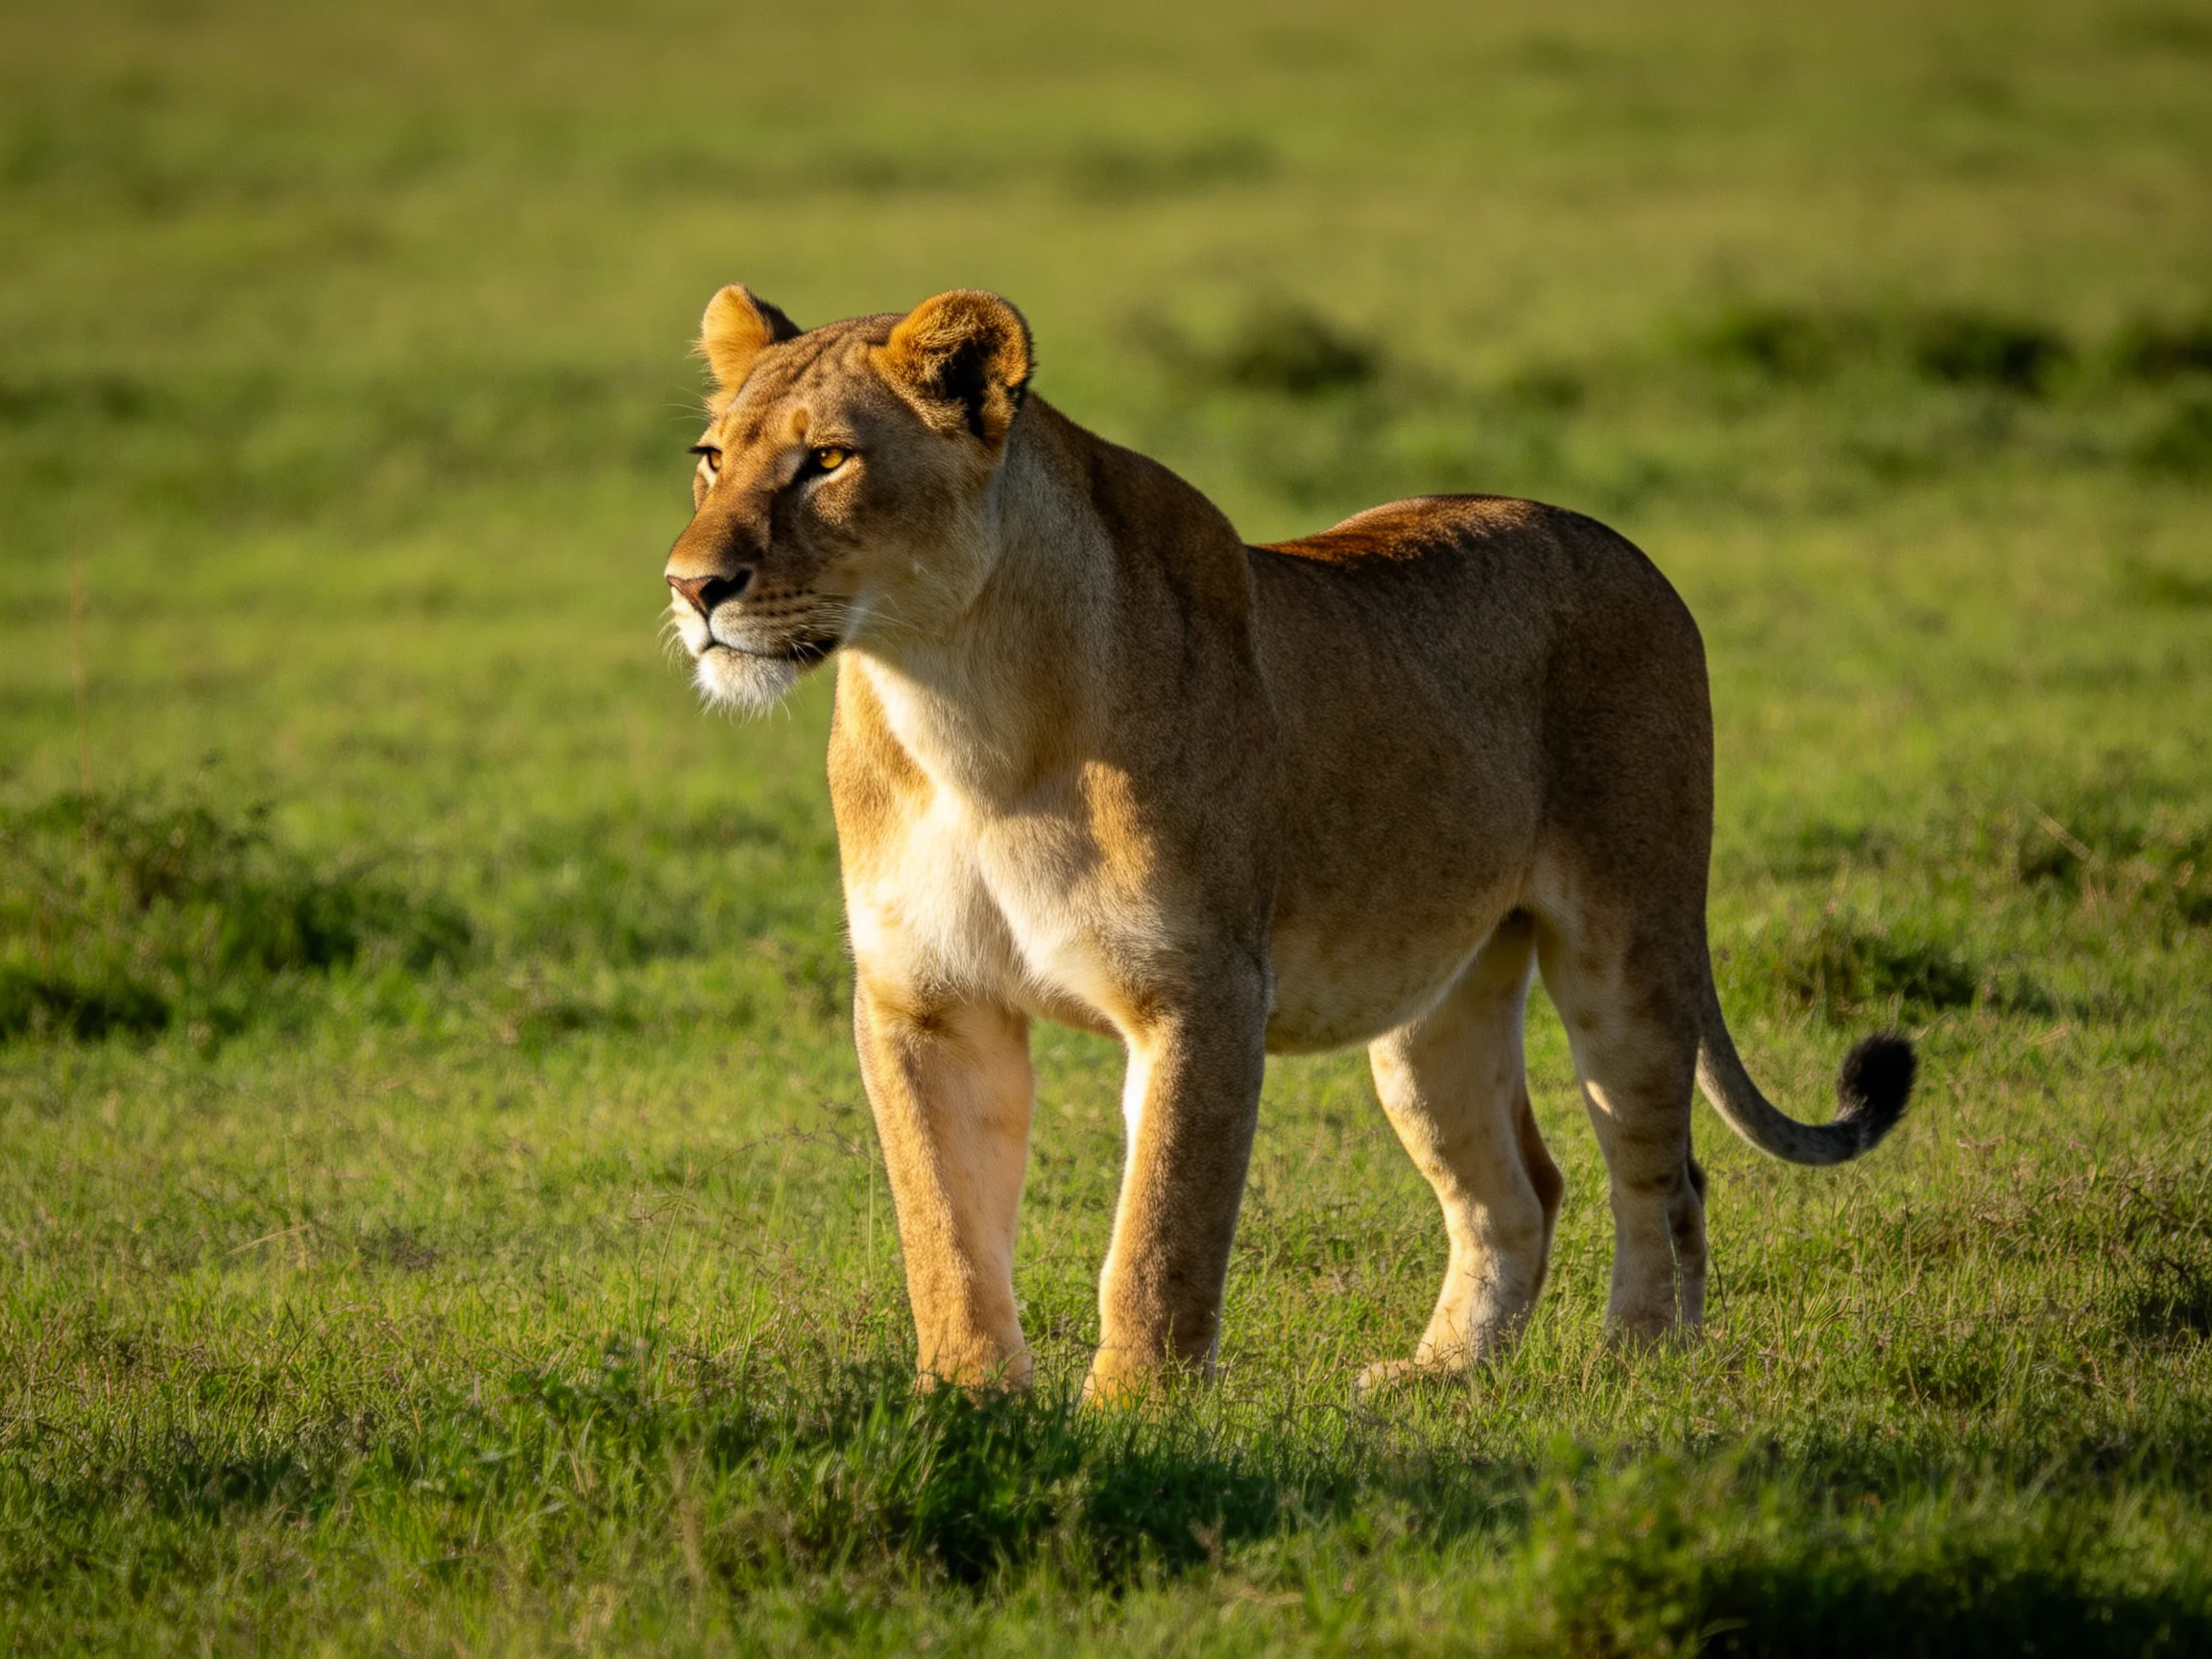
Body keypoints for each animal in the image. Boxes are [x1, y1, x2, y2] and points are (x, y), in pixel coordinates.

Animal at [663, 286, 1915, 1400]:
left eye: (828, 461)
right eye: (712, 458)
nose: (691, 587)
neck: (956, 704)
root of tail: (1618, 543)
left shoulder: (1198, 991)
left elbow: (1160, 1234)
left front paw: (1135, 1419)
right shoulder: (926, 1001)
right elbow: (946, 1235)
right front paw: (970, 1402)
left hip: (1629, 946)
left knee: (1660, 1172)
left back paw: (1640, 1363)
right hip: (1434, 1003)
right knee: (1518, 1188)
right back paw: (1437, 1376)